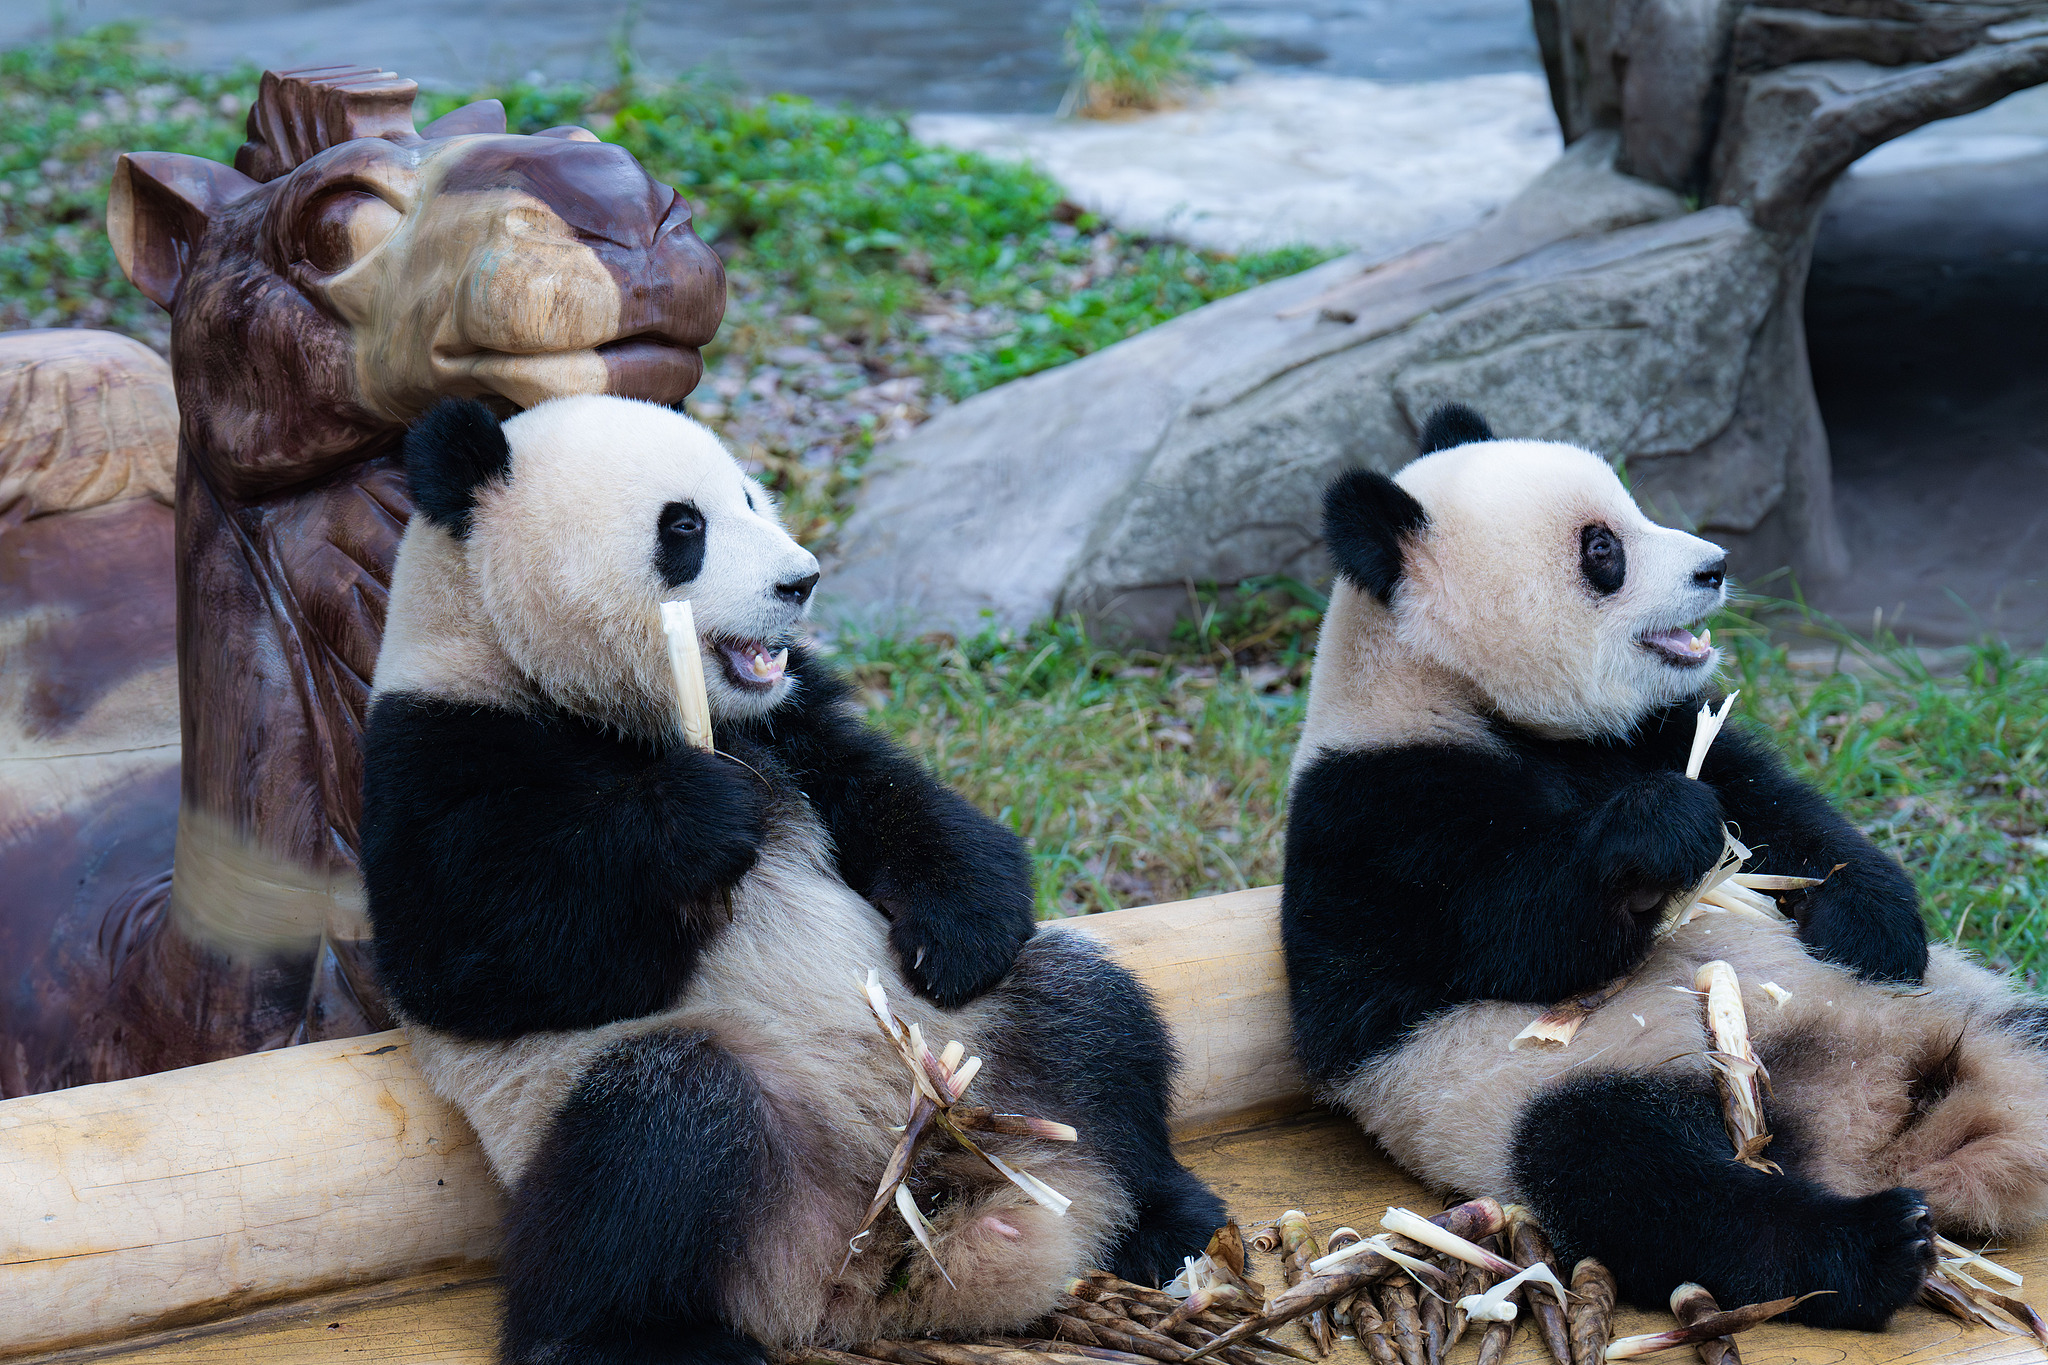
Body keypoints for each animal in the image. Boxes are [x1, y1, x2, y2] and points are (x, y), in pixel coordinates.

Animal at [360, 392, 1220, 1365]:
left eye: (750, 496)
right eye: (684, 527)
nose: (800, 582)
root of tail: (881, 1261)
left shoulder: (789, 720)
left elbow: (892, 794)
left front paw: (958, 932)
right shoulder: (437, 751)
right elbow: (477, 954)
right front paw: (698, 816)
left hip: (982, 1056)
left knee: (1095, 1016)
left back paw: (1164, 1218)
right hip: (667, 1136)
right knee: (655, 1138)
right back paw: (640, 1338)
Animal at [1286, 403, 2048, 1334]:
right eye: (1602, 548)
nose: (1715, 566)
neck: (1451, 691)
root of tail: (1872, 1127)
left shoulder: (1661, 727)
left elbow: (1783, 811)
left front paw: (1873, 922)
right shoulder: (1373, 814)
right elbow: (1506, 933)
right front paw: (1663, 828)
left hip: (1972, 1003)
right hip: (1552, 1085)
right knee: (1644, 1182)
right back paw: (1876, 1244)